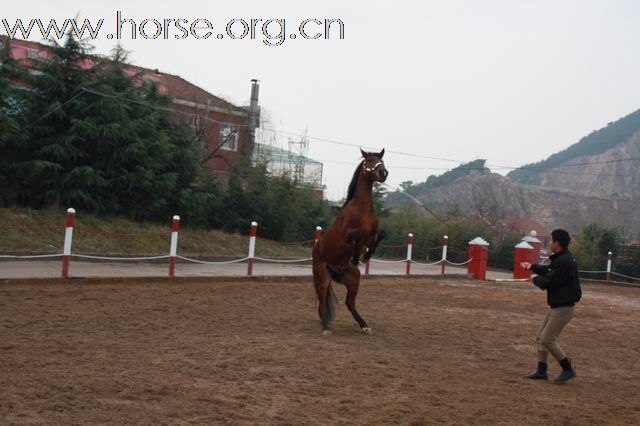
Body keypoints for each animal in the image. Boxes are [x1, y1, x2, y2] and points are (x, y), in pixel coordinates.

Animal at [312, 148, 388, 334]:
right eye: (369, 160)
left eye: (382, 160)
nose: (384, 173)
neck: (362, 209)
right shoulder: (347, 236)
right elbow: (356, 236)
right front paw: (355, 258)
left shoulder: (372, 235)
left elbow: (381, 235)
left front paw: (366, 256)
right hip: (322, 278)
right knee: (322, 301)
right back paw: (325, 326)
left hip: (354, 279)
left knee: (349, 303)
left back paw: (364, 325)